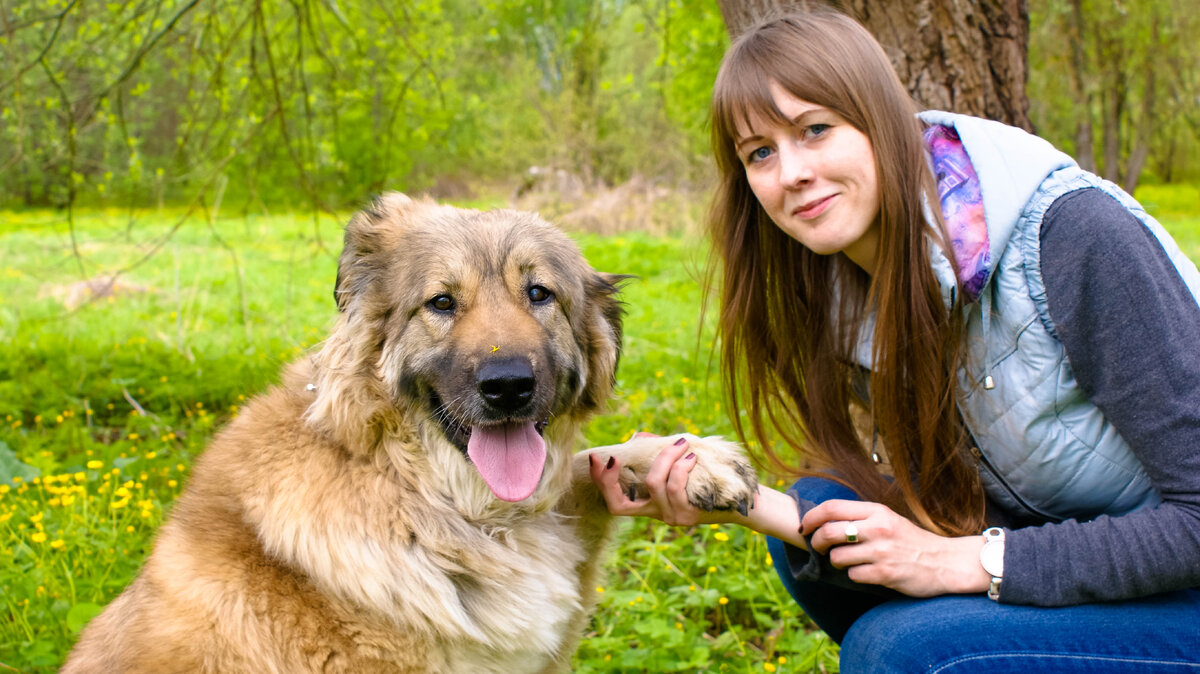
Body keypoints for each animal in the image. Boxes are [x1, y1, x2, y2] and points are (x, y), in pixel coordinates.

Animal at [60, 194, 753, 671]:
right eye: (441, 303)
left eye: (540, 294)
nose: (508, 385)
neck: (421, 495)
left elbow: (590, 460)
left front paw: (694, 460)